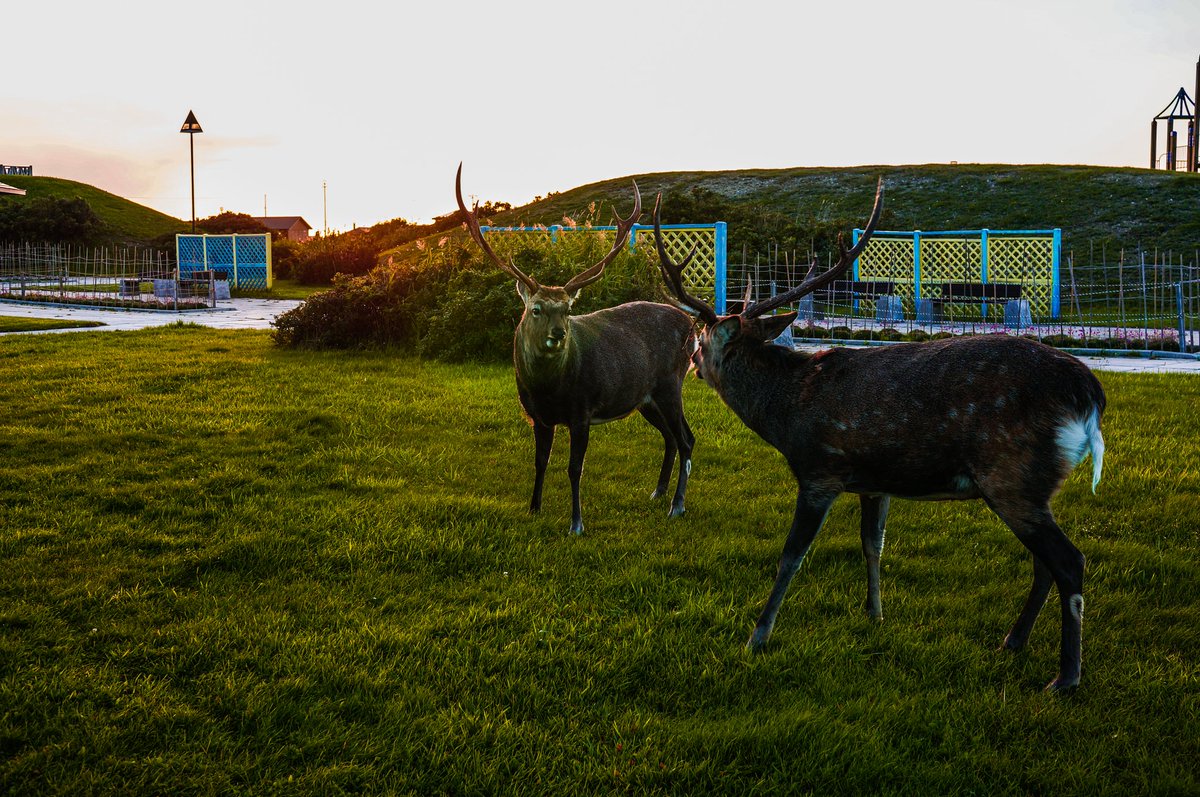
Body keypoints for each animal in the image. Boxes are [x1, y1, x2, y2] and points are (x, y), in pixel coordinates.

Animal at [456, 164, 697, 535]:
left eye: (568, 309)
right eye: (536, 308)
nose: (559, 333)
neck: (548, 390)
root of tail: (692, 324)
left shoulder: (582, 410)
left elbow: (574, 468)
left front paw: (576, 523)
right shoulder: (537, 416)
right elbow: (540, 462)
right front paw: (533, 509)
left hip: (671, 383)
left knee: (685, 439)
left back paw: (677, 505)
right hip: (645, 397)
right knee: (675, 437)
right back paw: (658, 493)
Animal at [654, 179, 1106, 691]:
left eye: (703, 337)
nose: (692, 360)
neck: (786, 413)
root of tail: (1090, 394)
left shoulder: (821, 469)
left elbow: (792, 556)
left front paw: (757, 636)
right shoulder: (874, 480)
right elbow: (873, 544)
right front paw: (874, 614)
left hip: (1012, 474)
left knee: (1069, 561)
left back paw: (1066, 677)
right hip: (1030, 486)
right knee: (1043, 563)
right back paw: (1013, 640)